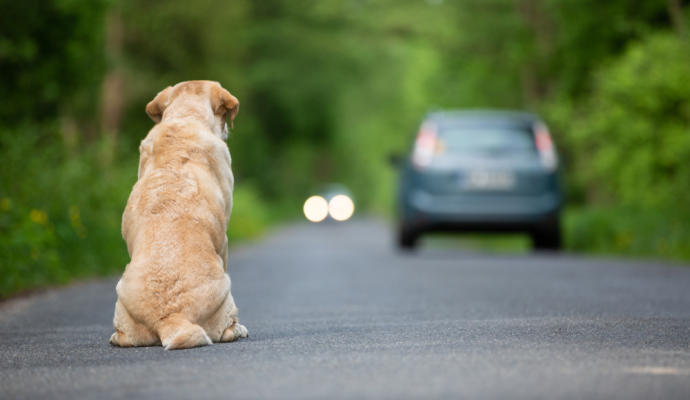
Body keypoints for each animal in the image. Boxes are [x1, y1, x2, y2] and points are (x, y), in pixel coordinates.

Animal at [107, 81, 247, 350]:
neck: (185, 117)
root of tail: (171, 317)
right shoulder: (223, 239)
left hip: (122, 299)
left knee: (124, 337)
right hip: (226, 290)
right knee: (226, 329)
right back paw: (238, 330)